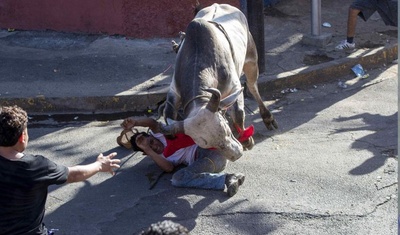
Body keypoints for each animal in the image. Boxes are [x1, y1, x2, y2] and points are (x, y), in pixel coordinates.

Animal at [158, 3, 276, 162]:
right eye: (206, 144)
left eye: (226, 131)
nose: (236, 155)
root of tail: (219, 4)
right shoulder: (174, 90)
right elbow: (169, 113)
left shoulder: (235, 86)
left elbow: (238, 114)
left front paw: (247, 141)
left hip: (251, 59)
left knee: (252, 87)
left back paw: (267, 117)